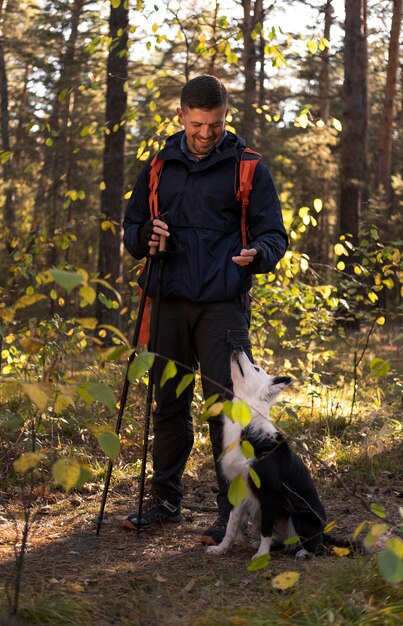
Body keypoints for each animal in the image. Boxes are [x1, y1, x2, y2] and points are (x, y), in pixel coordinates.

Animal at [207, 348, 330, 560]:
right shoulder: (239, 488)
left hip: (300, 514)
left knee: (316, 546)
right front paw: (221, 548)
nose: (237, 348)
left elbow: (265, 529)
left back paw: (303, 552)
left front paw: (261, 556)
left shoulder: (269, 495)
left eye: (256, 368)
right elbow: (231, 526)